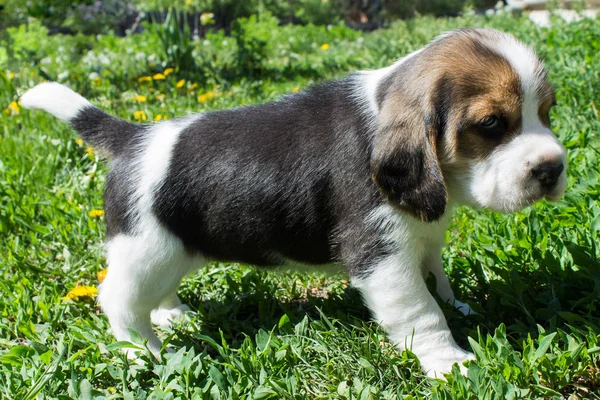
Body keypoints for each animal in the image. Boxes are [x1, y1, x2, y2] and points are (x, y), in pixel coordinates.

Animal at [21, 28, 568, 378]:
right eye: (492, 124)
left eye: (545, 112)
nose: (553, 168)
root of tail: (133, 138)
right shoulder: (382, 256)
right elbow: (422, 310)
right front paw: (449, 361)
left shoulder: (423, 233)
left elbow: (437, 276)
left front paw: (461, 306)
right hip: (144, 250)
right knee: (118, 301)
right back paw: (144, 352)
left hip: (168, 252)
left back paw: (173, 315)